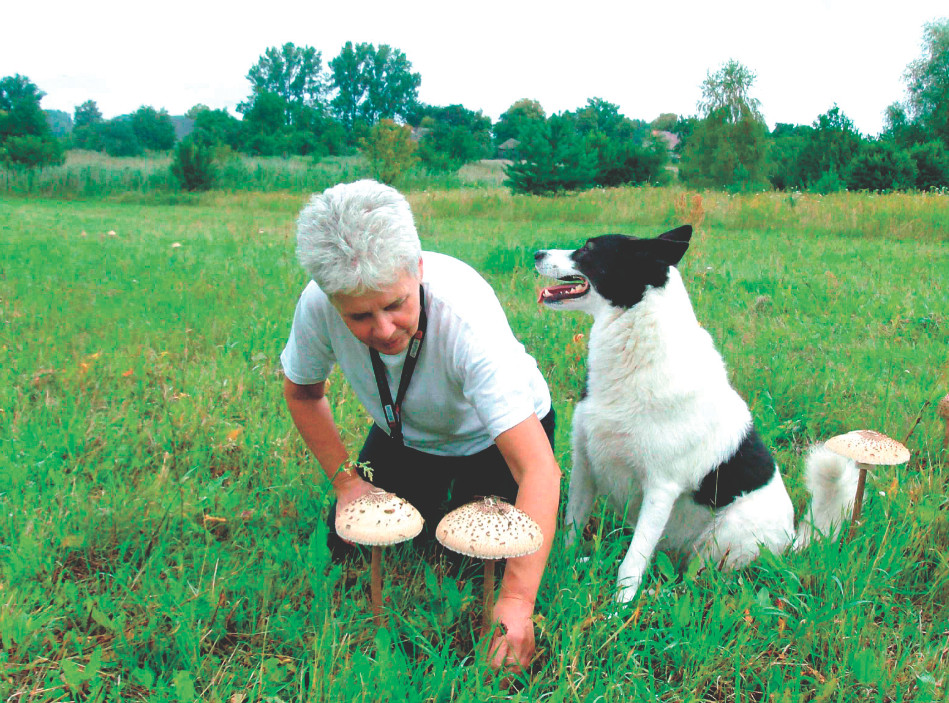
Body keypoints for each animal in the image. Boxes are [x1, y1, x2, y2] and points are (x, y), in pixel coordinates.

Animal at [536, 228, 856, 604]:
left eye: (588, 248)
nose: (537, 253)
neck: (637, 349)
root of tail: (791, 539)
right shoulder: (585, 464)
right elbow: (571, 529)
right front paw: (563, 569)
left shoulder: (660, 489)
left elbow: (631, 563)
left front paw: (620, 608)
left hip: (726, 535)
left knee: (698, 579)